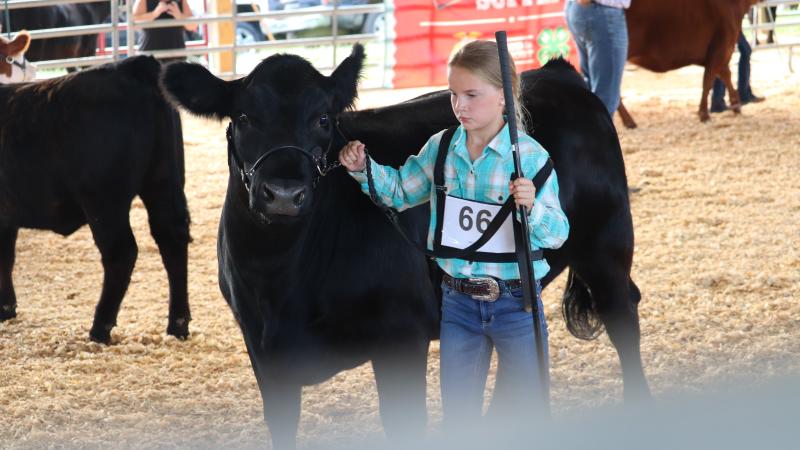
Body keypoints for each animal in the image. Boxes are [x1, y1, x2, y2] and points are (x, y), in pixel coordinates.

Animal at [0, 55, 191, 344]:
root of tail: (131, 67)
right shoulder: (7, 216)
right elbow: (6, 258)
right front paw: (6, 308)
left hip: (104, 199)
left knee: (121, 252)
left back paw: (99, 328)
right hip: (164, 182)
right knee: (172, 240)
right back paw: (177, 325)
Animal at [161, 45, 648, 448]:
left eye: (323, 119)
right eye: (243, 117)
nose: (283, 193)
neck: (280, 280)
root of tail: (556, 73)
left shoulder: (401, 339)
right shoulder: (263, 353)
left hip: (607, 243)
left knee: (622, 314)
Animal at [618, 0, 758, 127]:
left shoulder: (723, 53)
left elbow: (726, 77)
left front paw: (736, 105)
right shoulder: (720, 49)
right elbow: (708, 82)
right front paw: (704, 114)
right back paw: (629, 121)